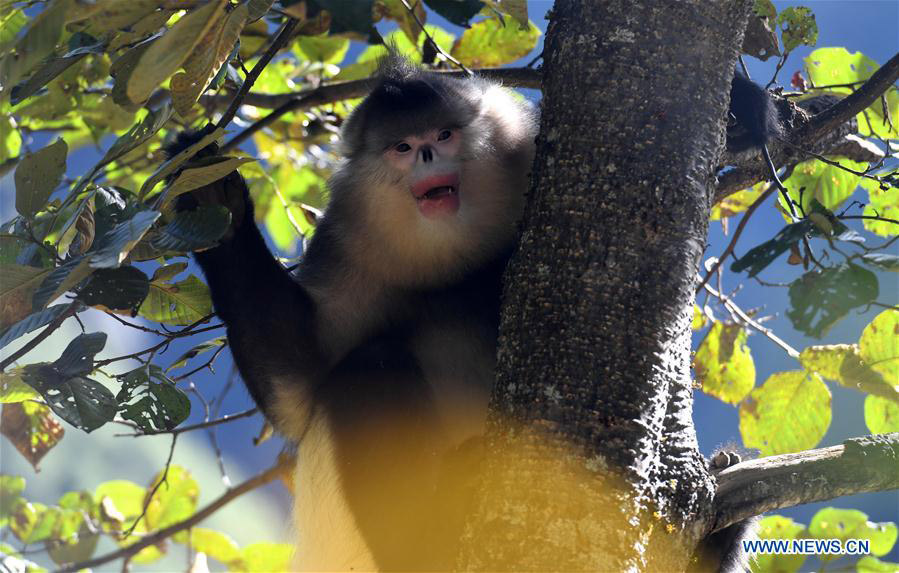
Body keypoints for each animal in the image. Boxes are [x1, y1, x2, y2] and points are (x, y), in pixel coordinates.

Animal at [172, 57, 784, 568]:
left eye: (443, 135)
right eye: (403, 146)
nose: (427, 154)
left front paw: (742, 108)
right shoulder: (349, 243)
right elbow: (303, 382)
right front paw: (216, 207)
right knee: (369, 369)